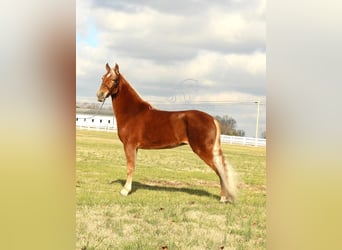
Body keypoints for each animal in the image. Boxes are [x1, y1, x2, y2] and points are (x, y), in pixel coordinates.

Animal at [95, 63, 236, 203]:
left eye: (114, 80)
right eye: (102, 77)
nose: (100, 95)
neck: (133, 113)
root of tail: (212, 119)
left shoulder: (129, 145)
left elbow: (130, 167)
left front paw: (125, 190)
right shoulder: (135, 147)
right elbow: (133, 166)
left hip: (204, 150)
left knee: (220, 170)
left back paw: (223, 198)